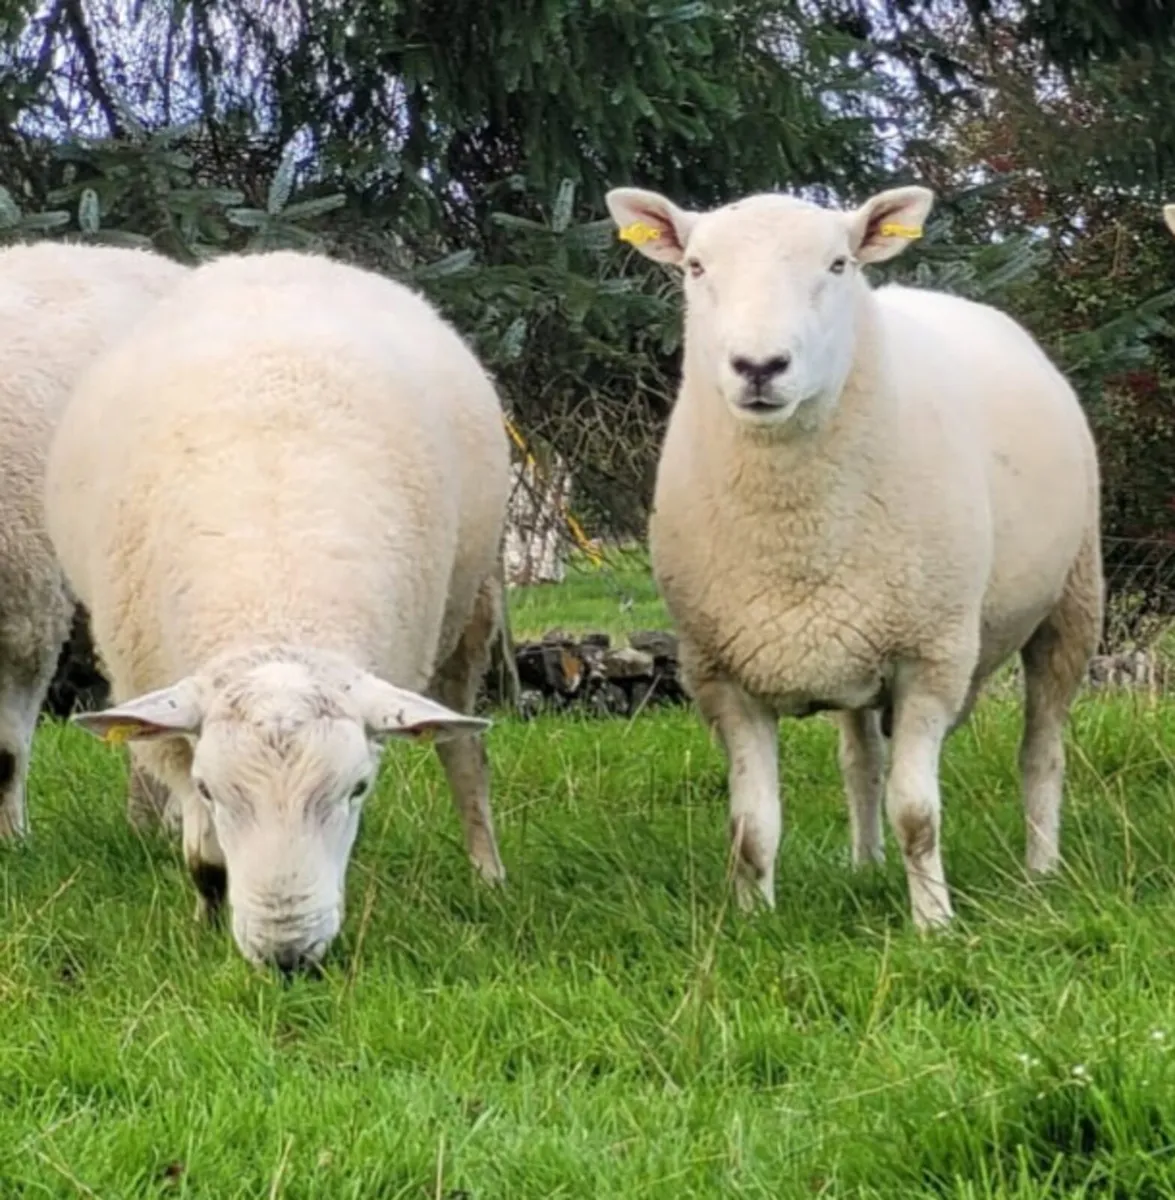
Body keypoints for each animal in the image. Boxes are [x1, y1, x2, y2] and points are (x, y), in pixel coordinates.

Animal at [45, 249, 511, 970]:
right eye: (213, 789)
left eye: (357, 789)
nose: (289, 957)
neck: (276, 599)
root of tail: (285, 257)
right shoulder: (171, 719)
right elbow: (204, 857)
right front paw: (207, 917)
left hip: (469, 611)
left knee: (464, 757)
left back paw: (487, 876)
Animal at [605, 184, 1103, 929]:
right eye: (695, 267)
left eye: (838, 264)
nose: (759, 367)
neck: (794, 529)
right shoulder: (722, 673)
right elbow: (750, 826)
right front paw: (754, 922)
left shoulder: (930, 658)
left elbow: (918, 813)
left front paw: (934, 923)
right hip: (854, 639)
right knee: (859, 758)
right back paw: (865, 863)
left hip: (1071, 601)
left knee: (1040, 749)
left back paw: (1040, 869)